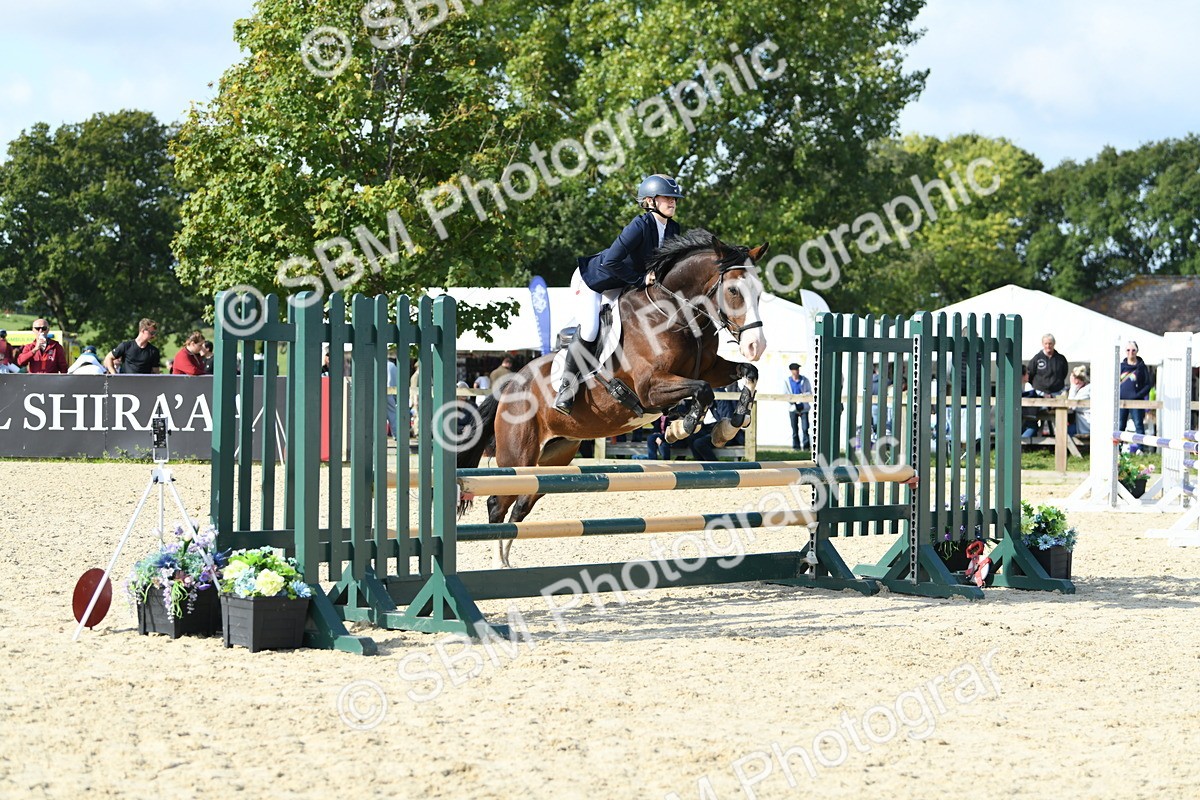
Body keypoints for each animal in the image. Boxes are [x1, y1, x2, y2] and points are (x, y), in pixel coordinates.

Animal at [458, 229, 769, 566]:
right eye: (734, 291)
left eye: (759, 292)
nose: (757, 345)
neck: (673, 313)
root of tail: (509, 385)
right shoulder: (650, 388)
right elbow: (703, 390)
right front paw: (681, 428)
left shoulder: (711, 369)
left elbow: (748, 372)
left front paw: (729, 426)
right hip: (519, 456)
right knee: (497, 501)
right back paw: (497, 562)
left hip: (554, 456)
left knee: (522, 503)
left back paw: (506, 560)